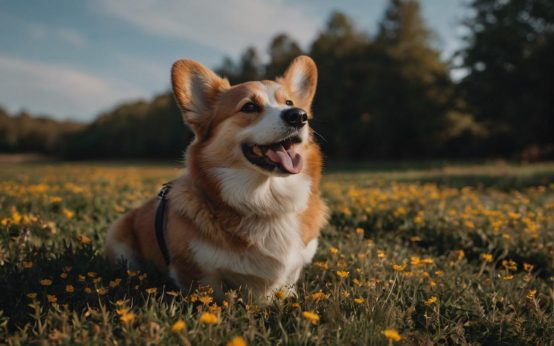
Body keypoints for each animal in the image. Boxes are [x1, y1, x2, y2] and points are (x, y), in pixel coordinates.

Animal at [105, 55, 326, 302]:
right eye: (249, 107)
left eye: (289, 102)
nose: (298, 115)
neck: (266, 201)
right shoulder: (196, 271)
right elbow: (212, 294)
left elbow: (287, 283)